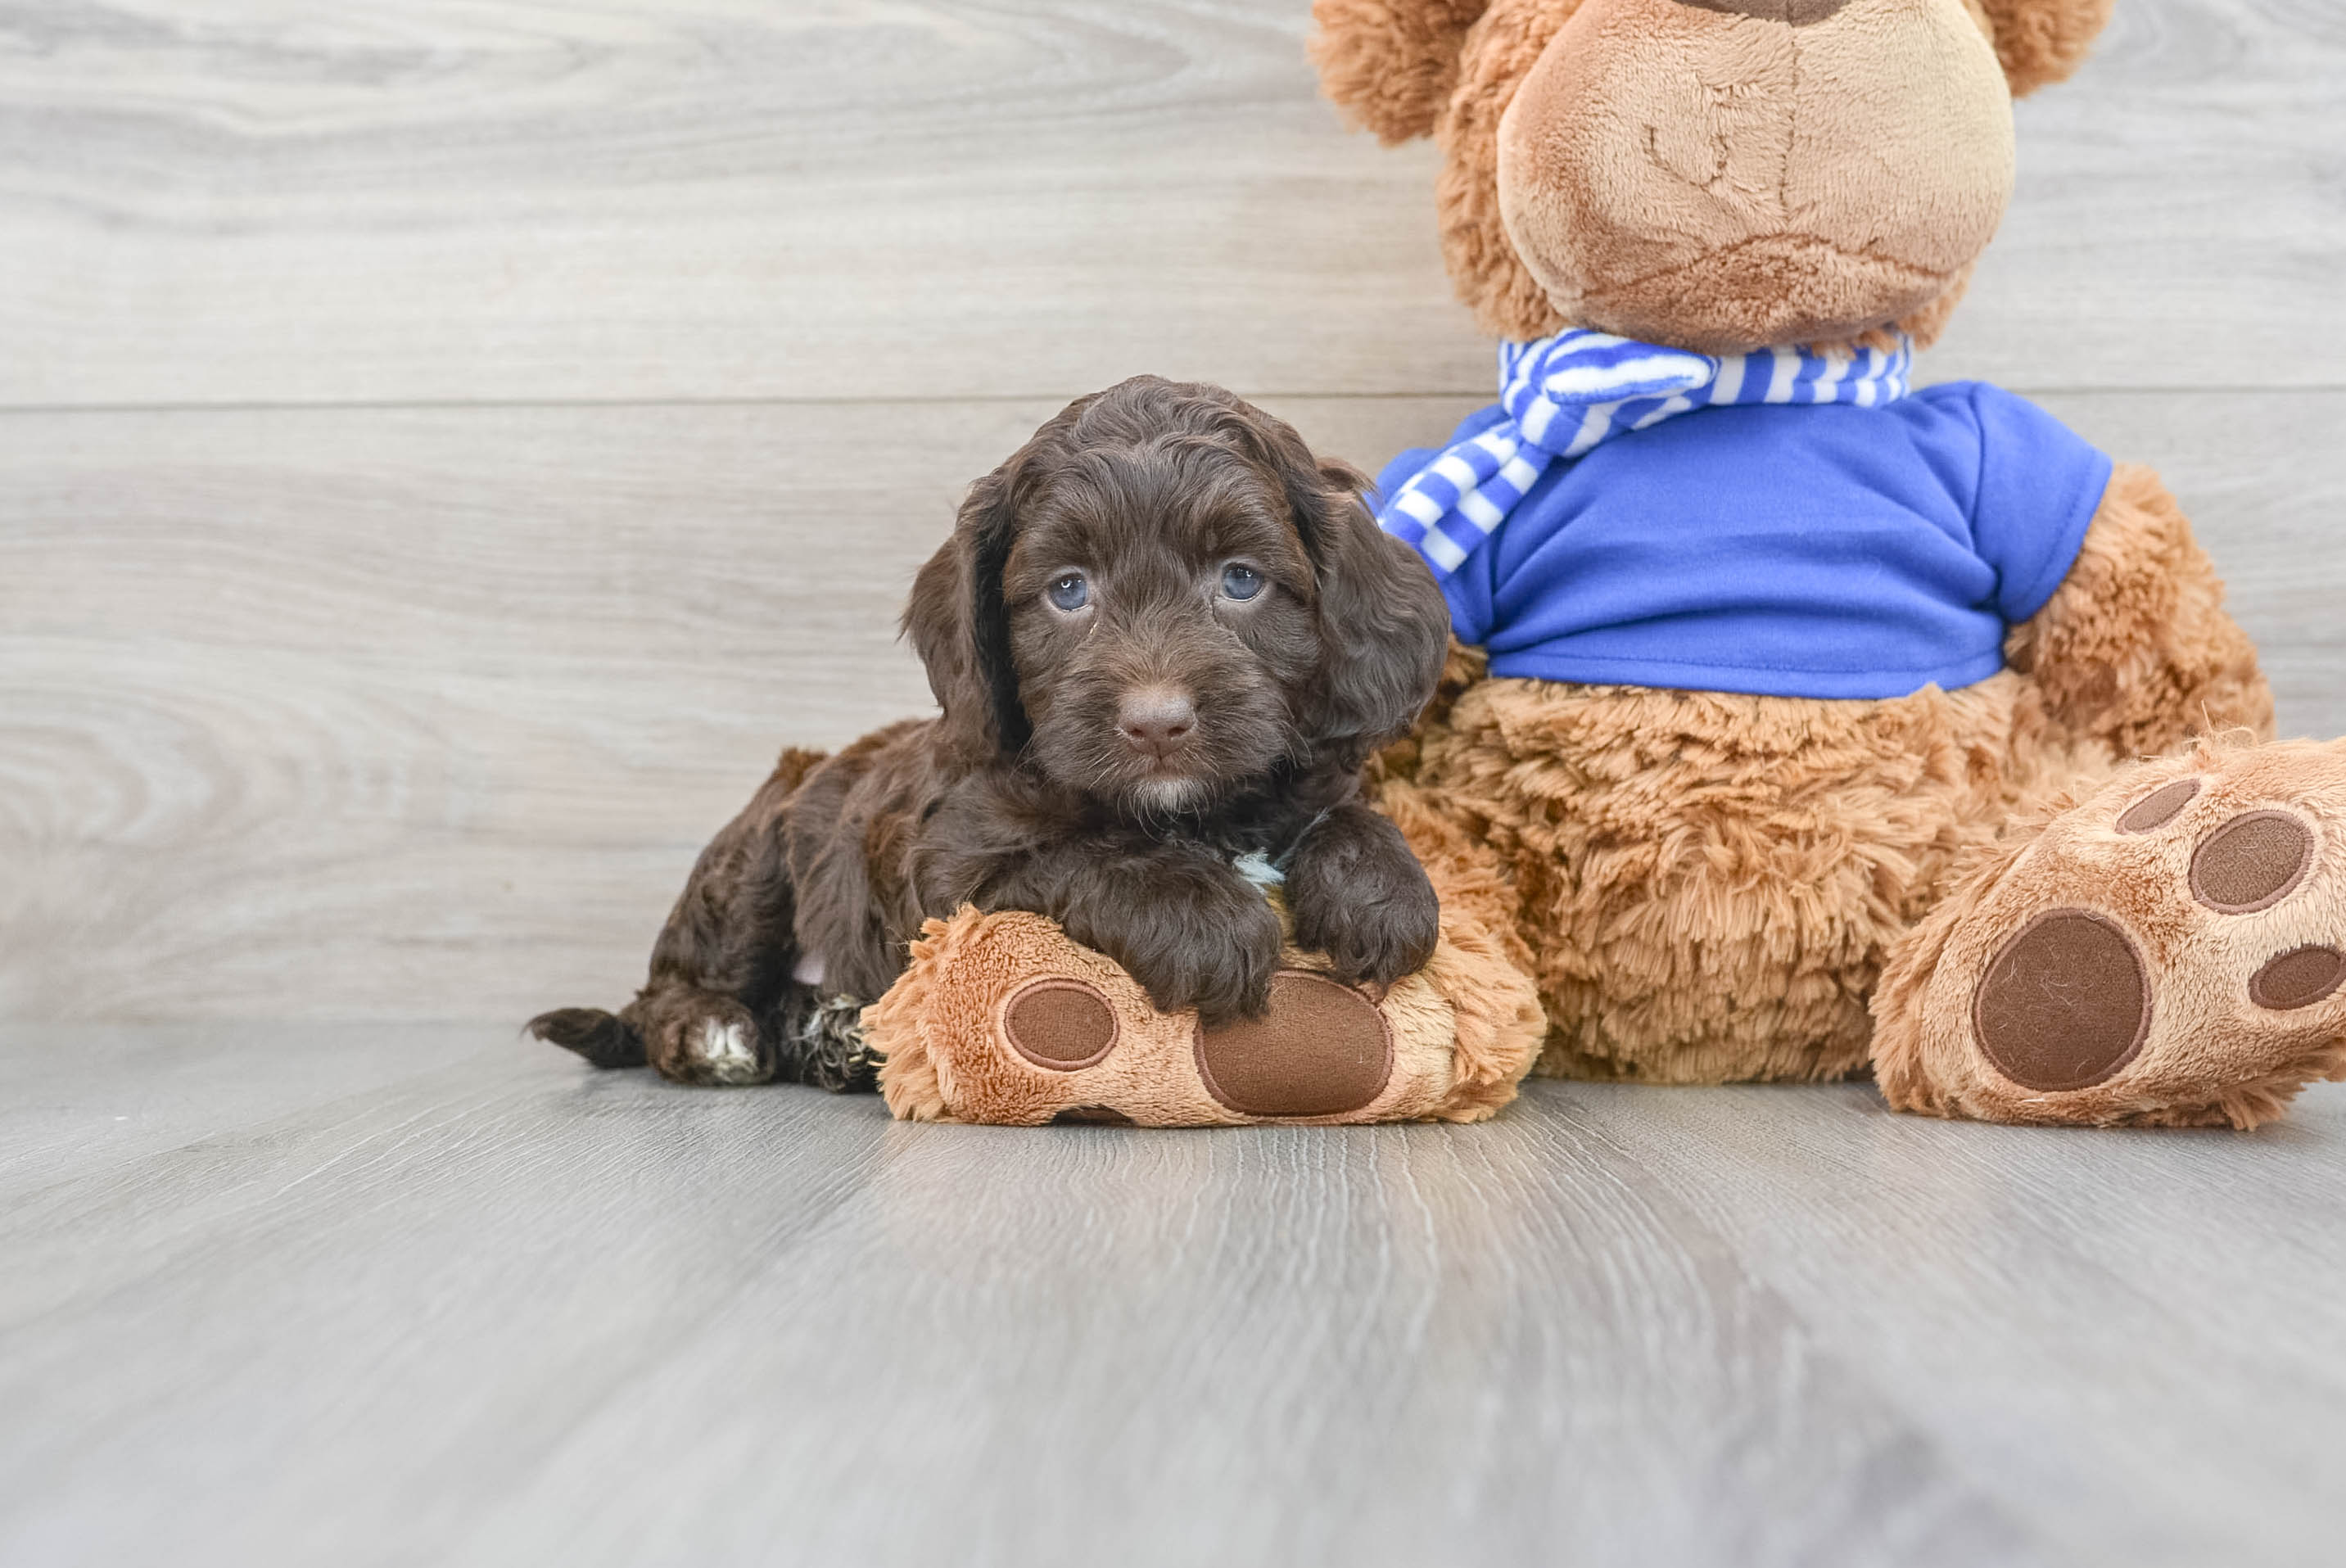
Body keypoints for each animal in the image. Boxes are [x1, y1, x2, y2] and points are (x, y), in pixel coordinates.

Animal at [532, 380, 1444, 1089]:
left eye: (1242, 580)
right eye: (1068, 589)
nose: (1156, 722)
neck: (1193, 812)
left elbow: (1347, 813)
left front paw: (1382, 891)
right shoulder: (948, 868)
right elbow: (1080, 852)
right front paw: (1202, 915)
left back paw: (835, 1034)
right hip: (759, 852)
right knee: (673, 984)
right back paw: (716, 1030)